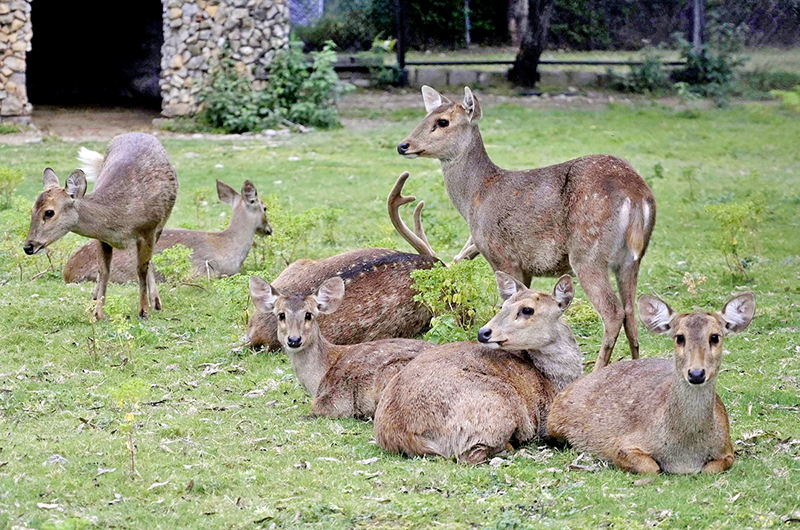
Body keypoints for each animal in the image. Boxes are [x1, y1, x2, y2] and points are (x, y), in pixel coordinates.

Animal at [24, 132, 178, 319]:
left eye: (49, 212)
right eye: (32, 210)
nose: (28, 246)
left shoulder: (149, 229)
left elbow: (141, 268)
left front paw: (143, 311)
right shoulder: (102, 238)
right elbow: (104, 271)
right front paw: (98, 312)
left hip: (160, 226)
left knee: (148, 262)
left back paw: (155, 302)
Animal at [373, 273, 583, 464]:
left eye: (527, 310)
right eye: (504, 306)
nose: (483, 332)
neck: (552, 381)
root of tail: (405, 435)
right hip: (499, 404)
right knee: (472, 455)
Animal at [397, 86, 657, 372]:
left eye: (442, 122)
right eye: (425, 116)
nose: (403, 145)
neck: (477, 196)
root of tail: (636, 194)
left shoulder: (502, 254)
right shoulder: (526, 267)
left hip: (588, 252)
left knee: (613, 312)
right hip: (631, 260)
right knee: (631, 313)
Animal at [546, 292, 756, 474]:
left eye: (715, 336)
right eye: (680, 337)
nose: (696, 374)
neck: (685, 454)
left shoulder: (727, 448)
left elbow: (710, 469)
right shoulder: (621, 445)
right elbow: (652, 467)